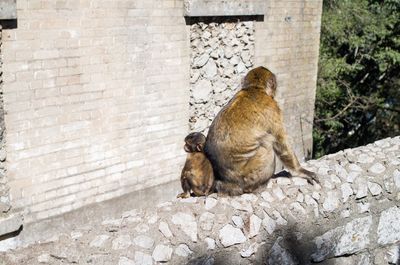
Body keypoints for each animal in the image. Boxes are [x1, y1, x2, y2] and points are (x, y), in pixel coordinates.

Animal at [205, 66, 318, 194]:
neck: (255, 89)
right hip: (250, 175)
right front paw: (300, 171)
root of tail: (228, 182)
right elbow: (281, 143)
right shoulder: (273, 108)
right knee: (267, 143)